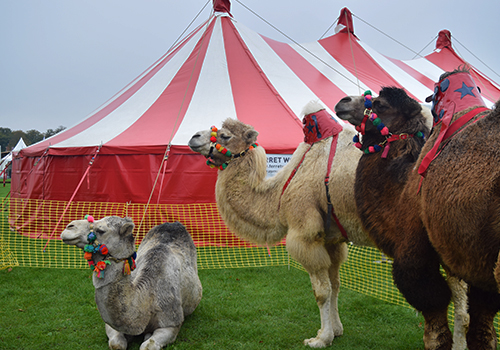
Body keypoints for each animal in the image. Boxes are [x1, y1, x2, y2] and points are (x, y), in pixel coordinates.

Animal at [61, 216, 202, 350]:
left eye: (101, 230)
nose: (69, 226)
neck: (146, 299)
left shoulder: (172, 321)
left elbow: (147, 346)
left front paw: (147, 336)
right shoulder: (112, 325)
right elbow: (116, 344)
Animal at [188, 100, 468, 348]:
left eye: (225, 136)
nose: (194, 136)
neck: (279, 192)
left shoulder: (305, 234)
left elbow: (320, 292)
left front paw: (320, 339)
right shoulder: (332, 239)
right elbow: (335, 286)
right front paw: (336, 331)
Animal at [334, 69, 500, 348]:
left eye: (380, 104)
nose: (342, 102)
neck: (402, 188)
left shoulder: (415, 250)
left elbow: (433, 312)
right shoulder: (475, 263)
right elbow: (481, 327)